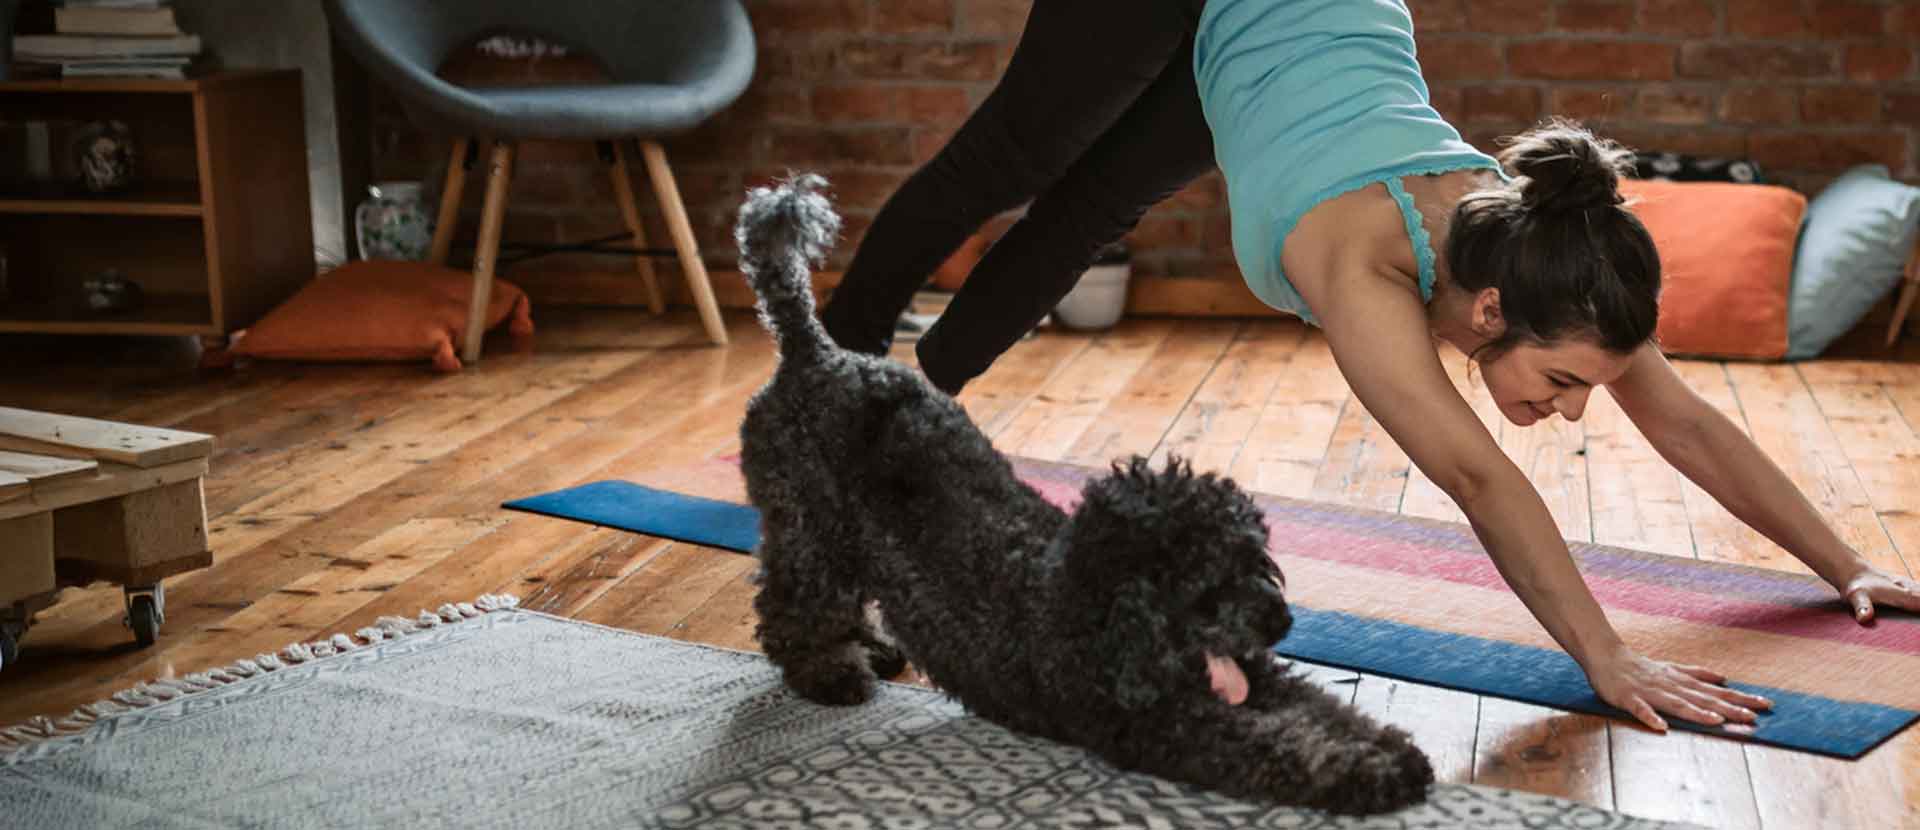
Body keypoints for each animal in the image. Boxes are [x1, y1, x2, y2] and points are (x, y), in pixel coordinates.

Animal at [725, 174, 1436, 818]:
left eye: (1258, 561)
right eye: (1208, 583)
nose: (1280, 622)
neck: (1088, 603)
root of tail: (813, 352)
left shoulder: (1254, 674)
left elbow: (1320, 708)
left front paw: (1388, 746)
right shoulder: (1167, 726)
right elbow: (1278, 748)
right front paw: (1366, 773)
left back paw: (869, 648)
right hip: (808, 527)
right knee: (790, 608)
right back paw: (831, 673)